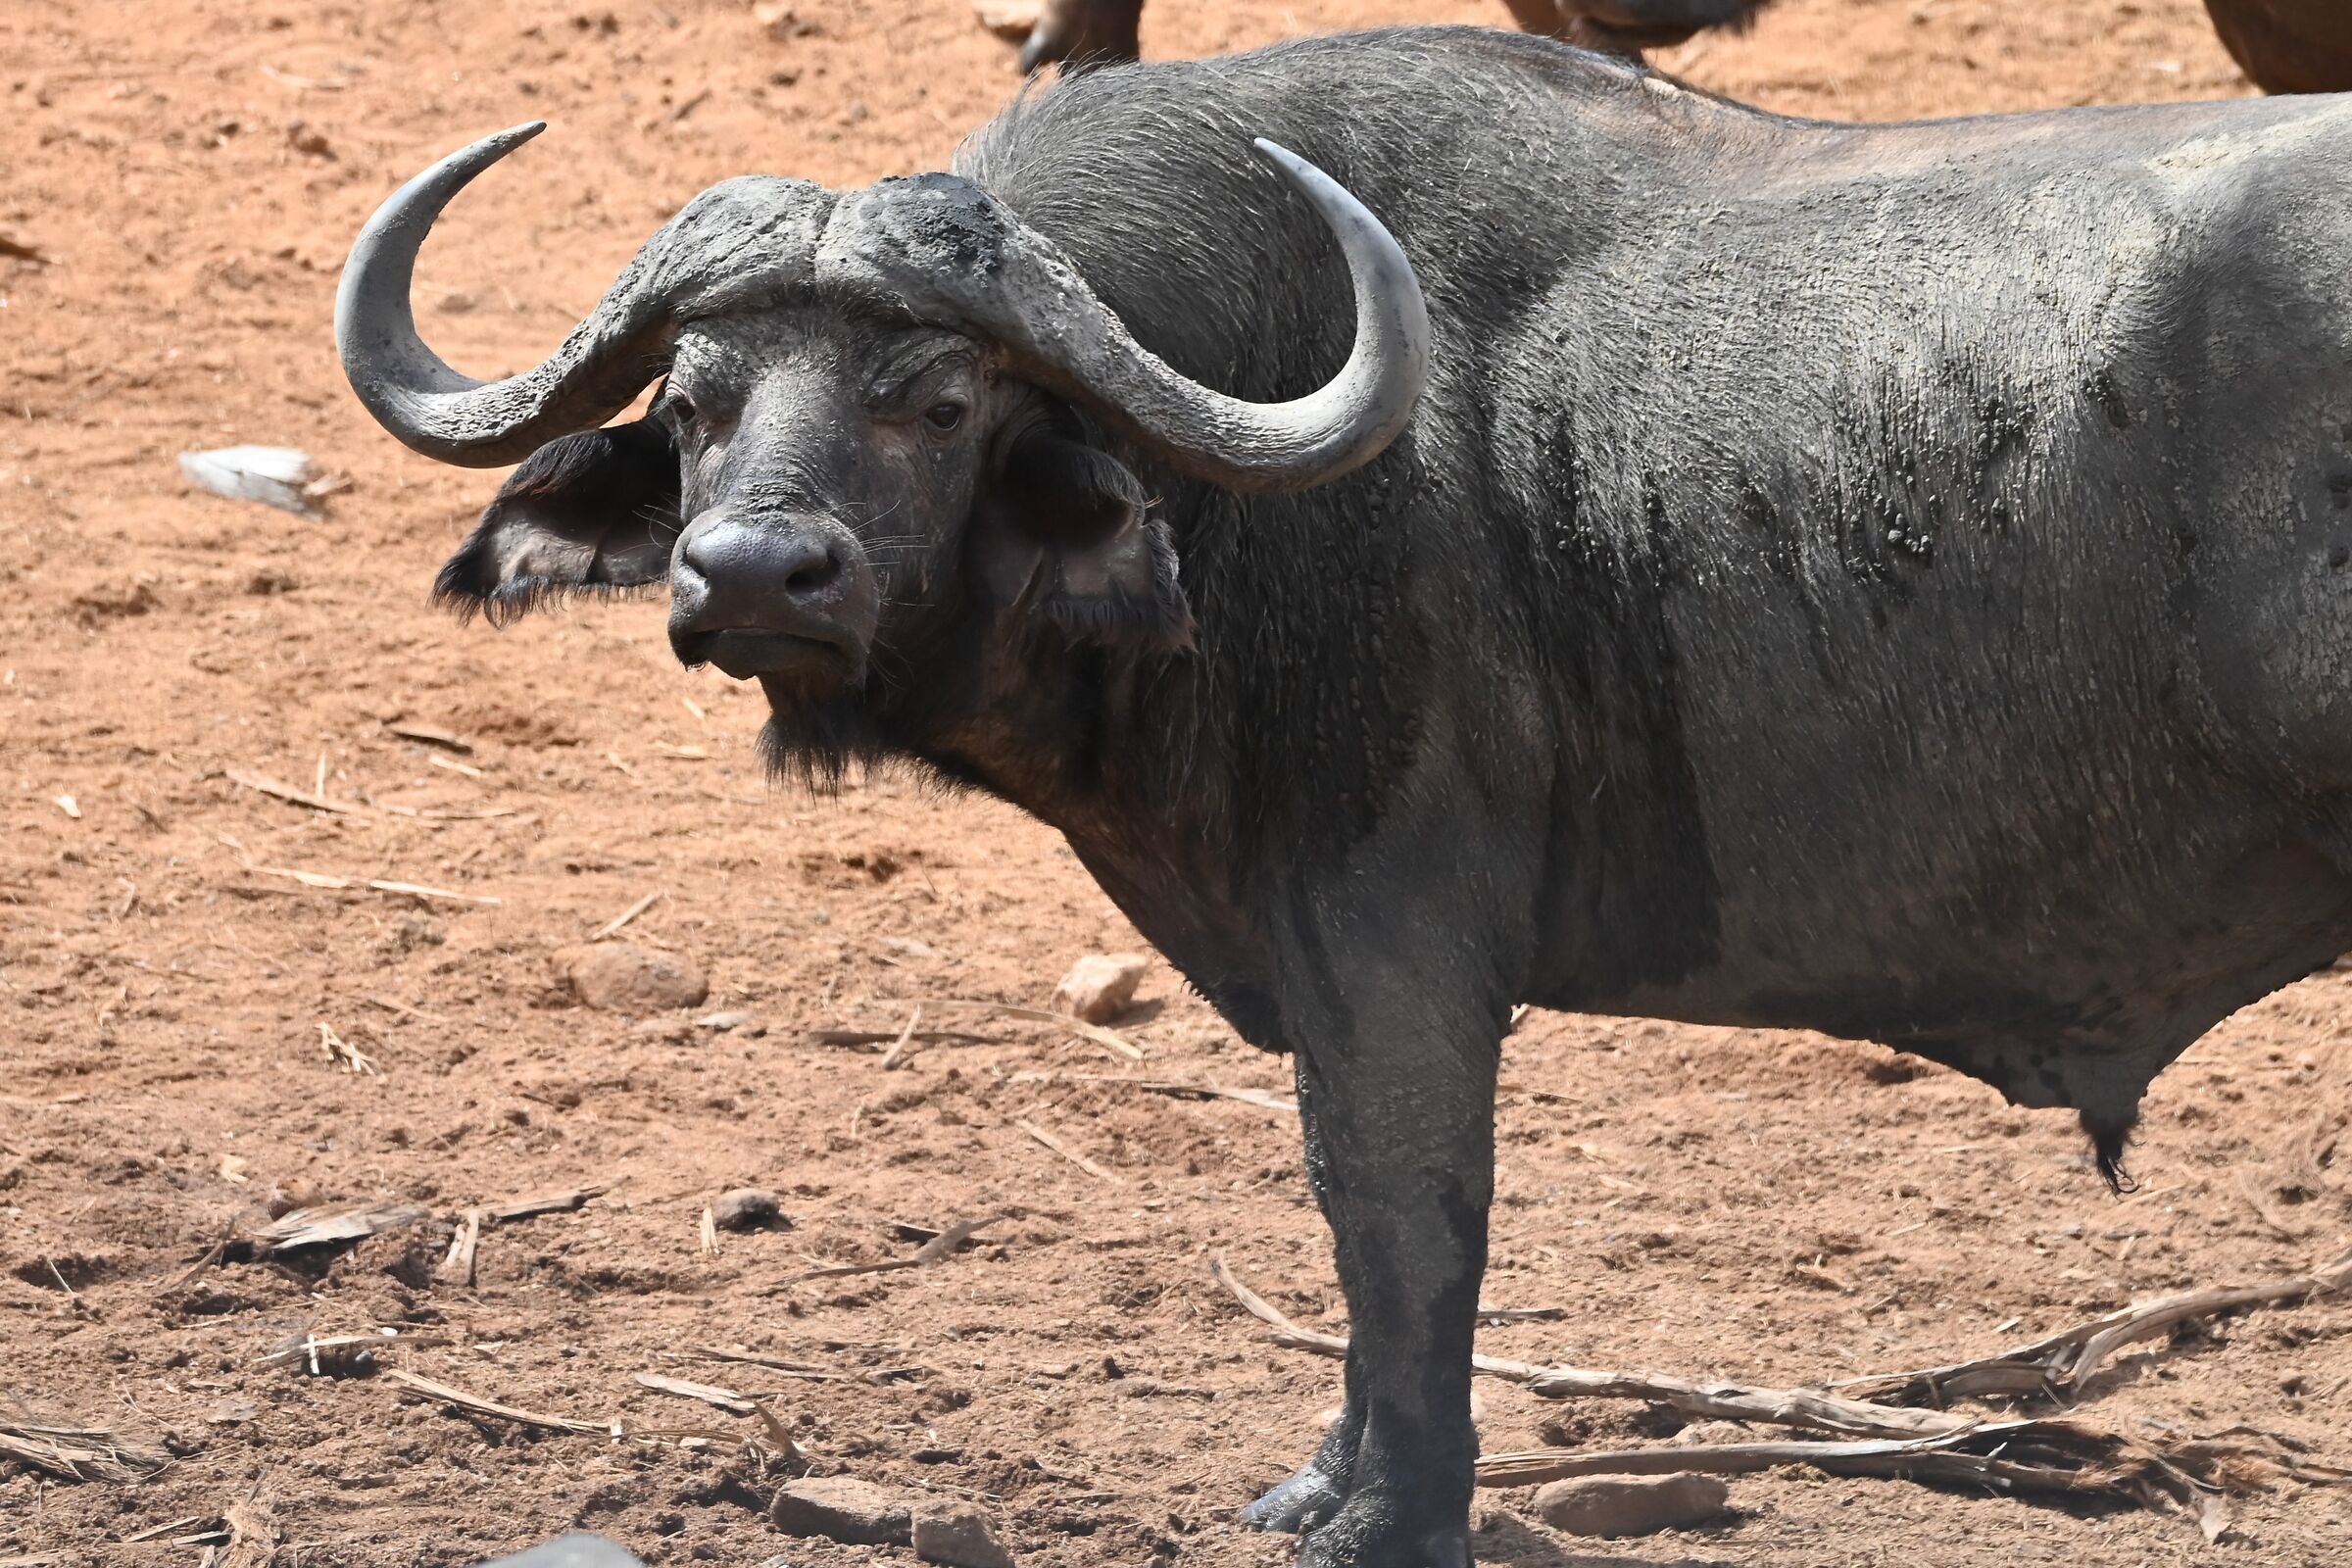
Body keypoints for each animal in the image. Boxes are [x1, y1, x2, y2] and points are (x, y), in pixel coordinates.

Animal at [340, 28, 2352, 1566]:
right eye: (693, 400)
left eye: (935, 396)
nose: (754, 572)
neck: (1243, 491)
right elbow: (1348, 1209)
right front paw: (1331, 1480)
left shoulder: (1391, 935)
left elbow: (1404, 1211)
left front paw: (1397, 1512)